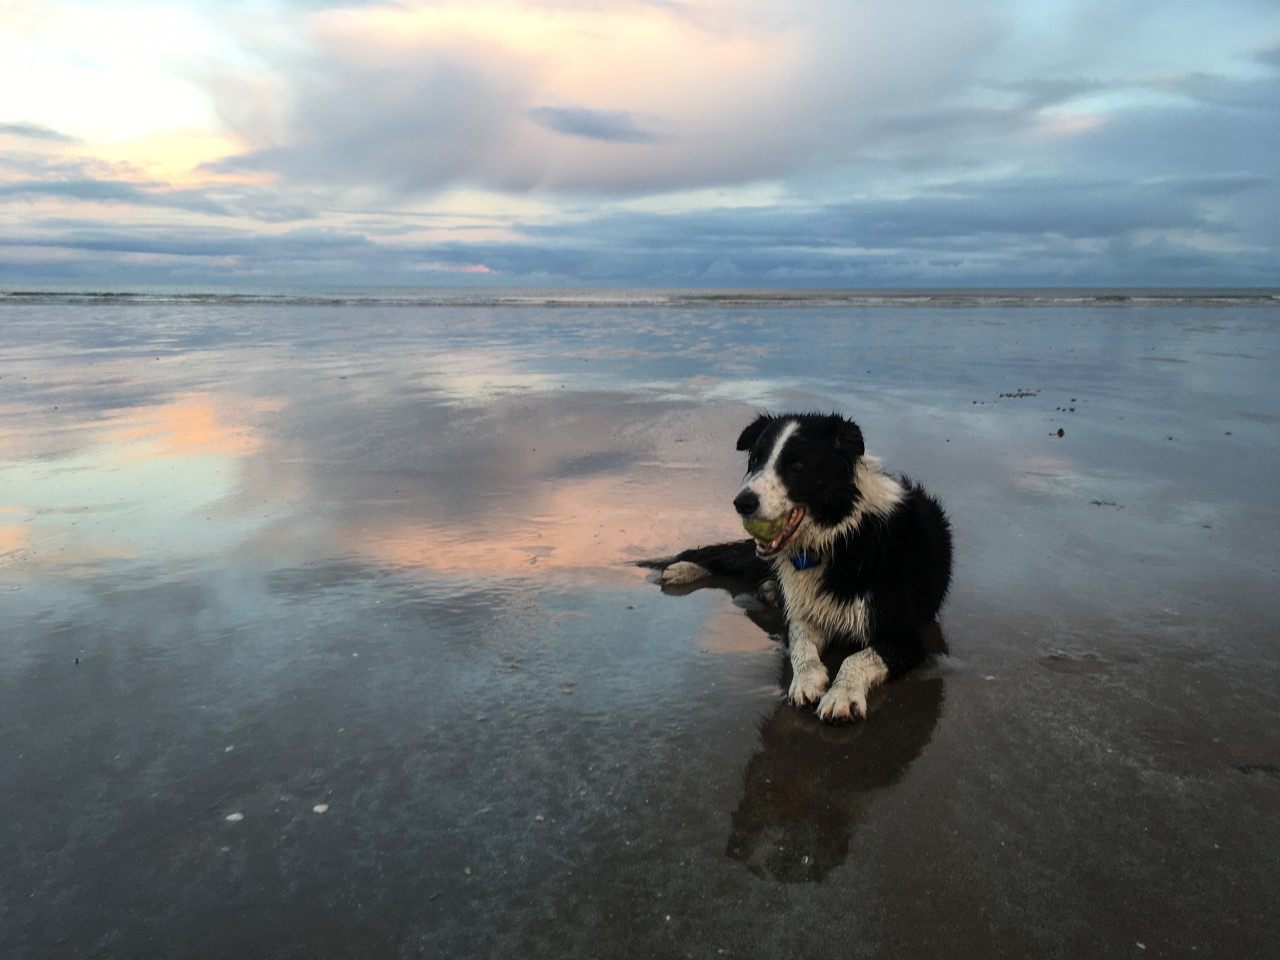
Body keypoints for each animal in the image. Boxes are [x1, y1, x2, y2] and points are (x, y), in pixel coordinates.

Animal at [655, 412, 947, 721]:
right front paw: (807, 681)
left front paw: (842, 695)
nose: (741, 503)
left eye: (797, 466)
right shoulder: (806, 614)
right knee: (727, 555)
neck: (839, 537)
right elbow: (800, 643)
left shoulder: (904, 637)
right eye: (756, 460)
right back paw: (683, 569)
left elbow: (856, 657)